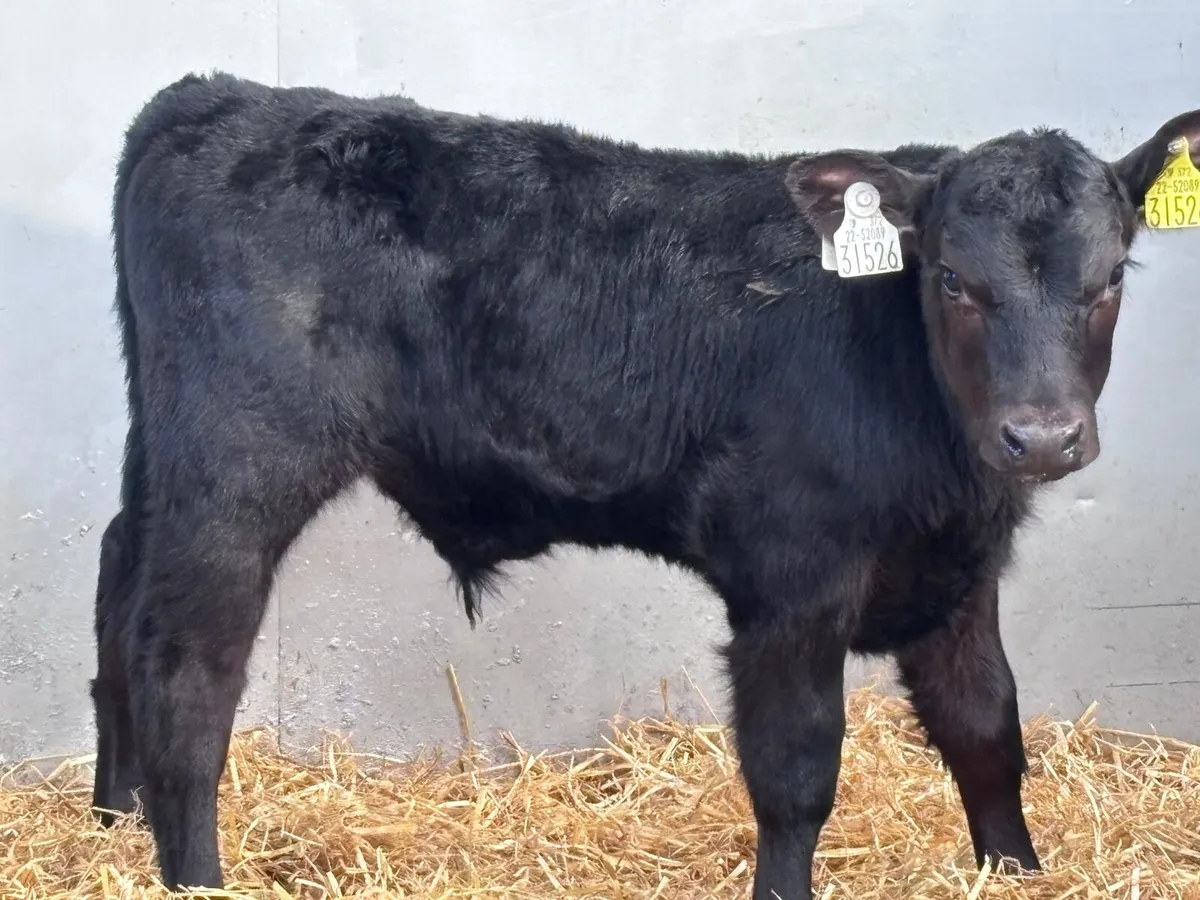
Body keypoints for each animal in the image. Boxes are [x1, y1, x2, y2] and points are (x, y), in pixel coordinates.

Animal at [87, 70, 1200, 898]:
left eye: (1110, 278)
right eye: (954, 281)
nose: (1041, 437)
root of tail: (215, 97)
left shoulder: (957, 572)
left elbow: (987, 730)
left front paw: (1019, 871)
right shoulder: (790, 581)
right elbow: (796, 774)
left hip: (161, 456)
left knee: (118, 589)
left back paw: (113, 816)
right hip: (236, 470)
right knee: (187, 668)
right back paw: (192, 874)